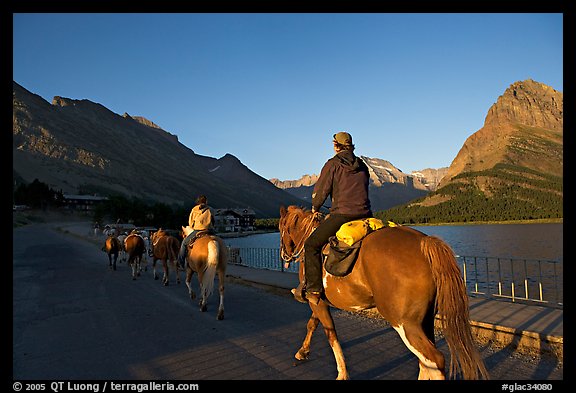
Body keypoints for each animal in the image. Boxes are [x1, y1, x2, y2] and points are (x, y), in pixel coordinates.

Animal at [276, 205, 488, 380]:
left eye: (282, 228)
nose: (284, 255)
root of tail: (425, 242)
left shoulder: (316, 300)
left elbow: (331, 335)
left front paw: (342, 374)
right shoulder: (320, 302)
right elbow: (312, 324)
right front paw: (303, 351)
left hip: (404, 323)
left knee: (434, 360)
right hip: (425, 319)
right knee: (426, 362)